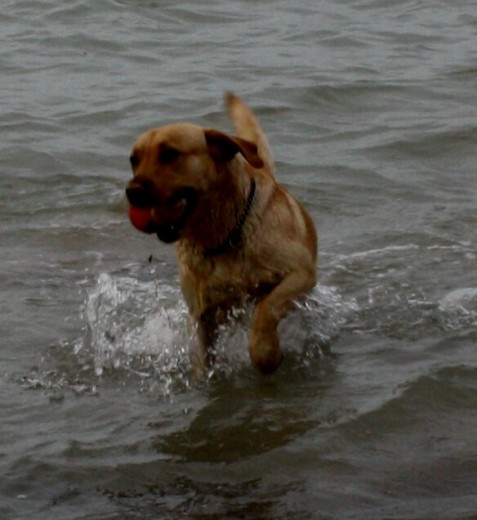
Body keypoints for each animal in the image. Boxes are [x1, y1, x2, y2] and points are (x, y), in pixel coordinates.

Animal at [125, 93, 316, 376]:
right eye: (134, 160)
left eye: (170, 154)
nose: (132, 191)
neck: (224, 236)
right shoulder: (201, 315)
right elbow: (202, 356)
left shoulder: (300, 273)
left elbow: (267, 307)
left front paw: (265, 353)